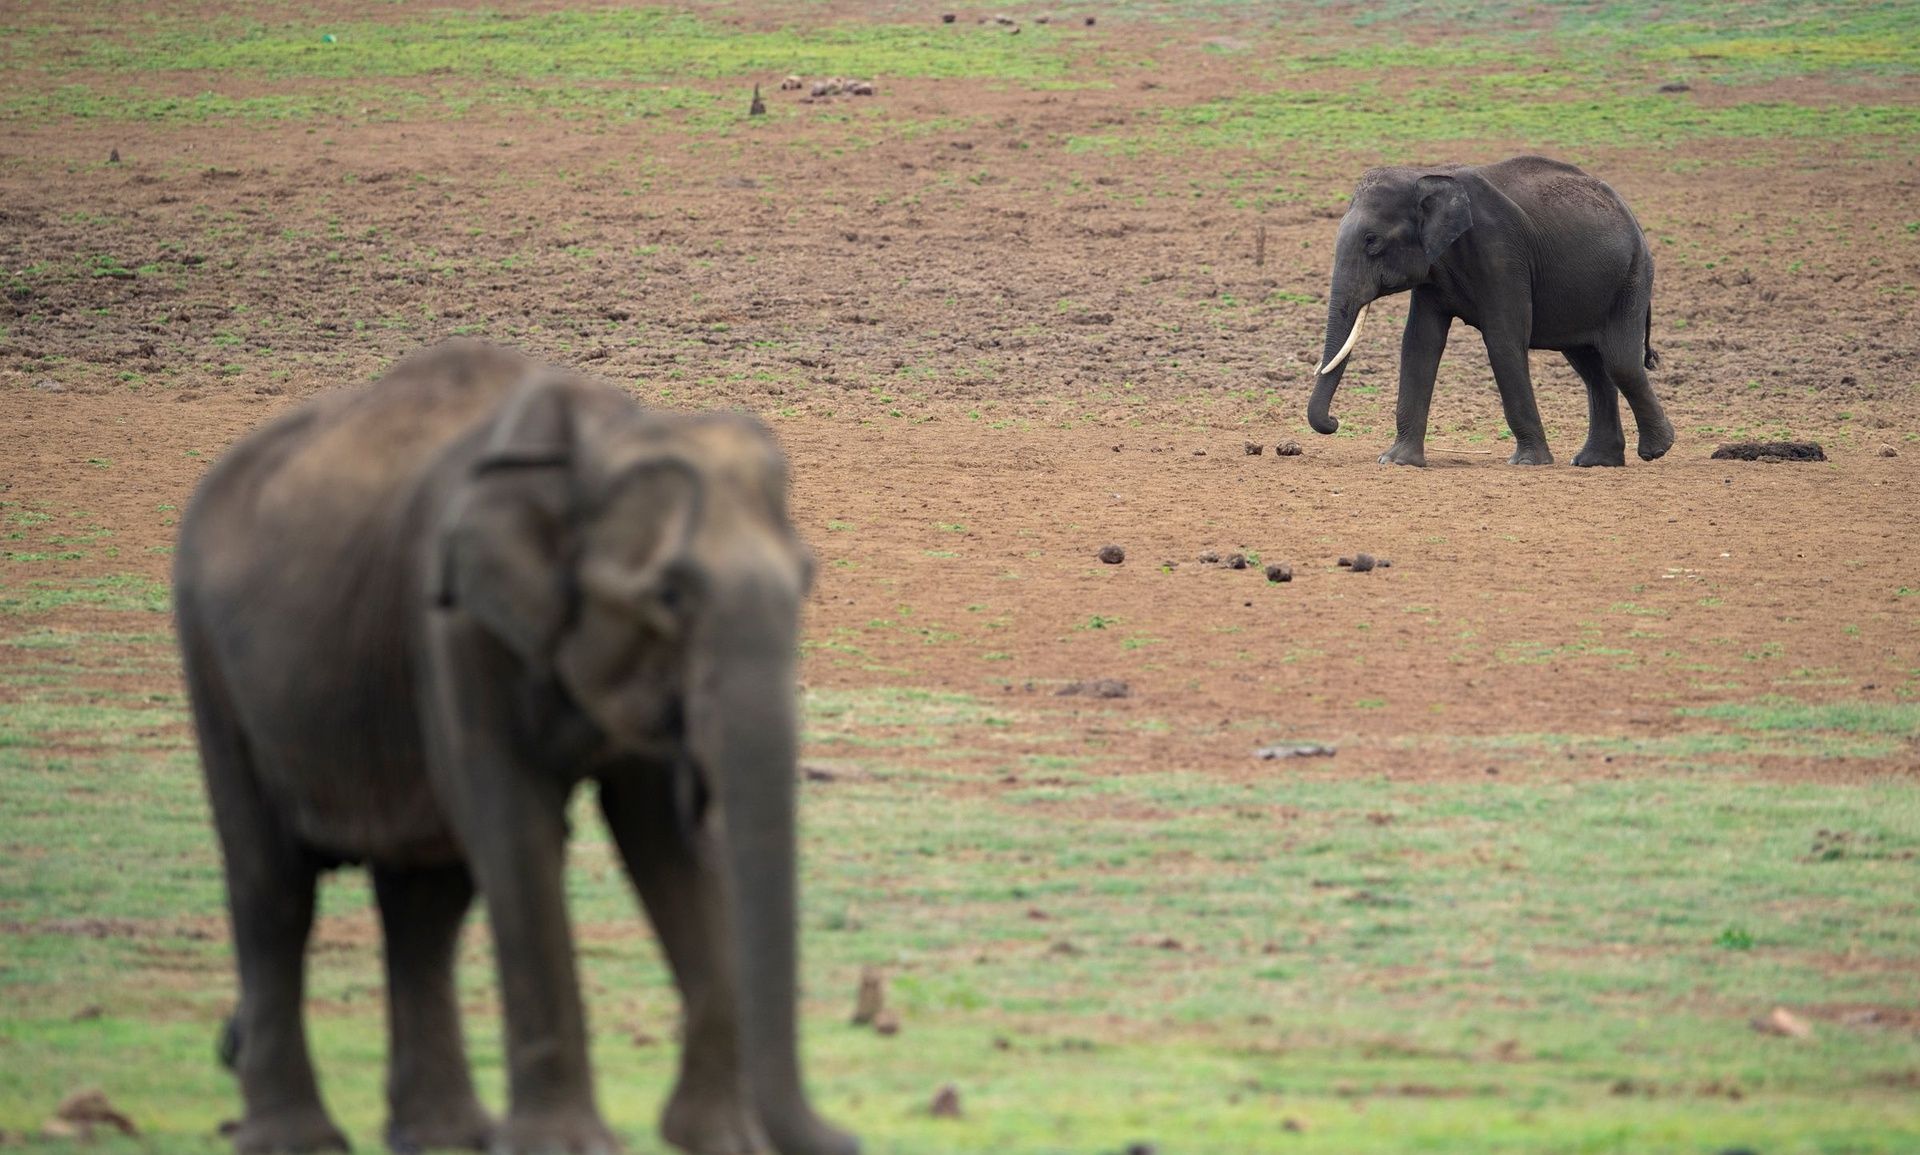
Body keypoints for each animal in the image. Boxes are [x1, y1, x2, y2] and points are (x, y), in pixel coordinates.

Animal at [174, 340, 857, 1155]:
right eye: (668, 595)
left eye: (806, 580)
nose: (850, 1138)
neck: (597, 442)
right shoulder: (452, 625)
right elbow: (517, 829)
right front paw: (568, 1144)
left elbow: (663, 842)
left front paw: (722, 1140)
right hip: (212, 663)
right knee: (273, 888)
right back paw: (298, 1138)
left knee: (424, 903)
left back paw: (443, 1135)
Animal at [1306, 154, 1675, 467]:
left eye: (1372, 242)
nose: (1334, 422)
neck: (1424, 174)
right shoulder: (1433, 268)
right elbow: (1419, 343)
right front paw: (1397, 462)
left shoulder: (1500, 251)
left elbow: (1503, 340)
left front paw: (1528, 463)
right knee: (1592, 368)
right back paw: (1595, 461)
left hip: (1632, 278)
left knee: (1619, 362)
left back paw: (1657, 449)